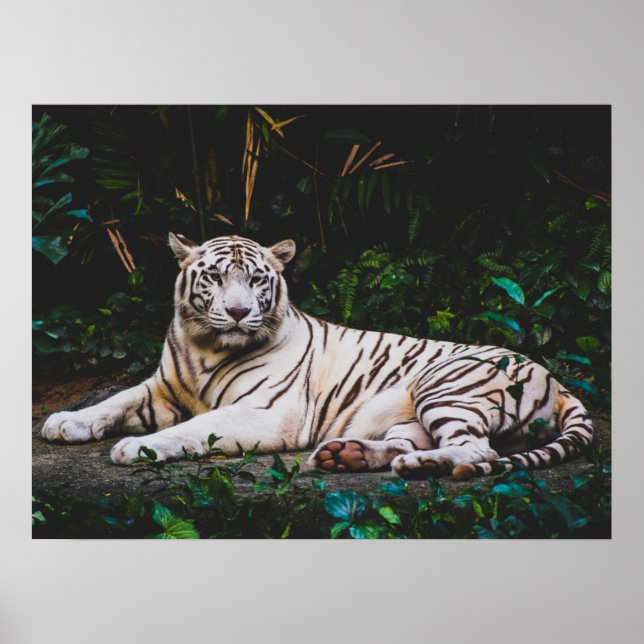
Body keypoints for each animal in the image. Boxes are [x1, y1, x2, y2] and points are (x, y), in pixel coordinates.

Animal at [41, 233, 594, 480]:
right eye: (215, 277)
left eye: (256, 280)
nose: (238, 312)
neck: (205, 346)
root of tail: (558, 381)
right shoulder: (162, 387)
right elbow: (114, 400)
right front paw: (65, 422)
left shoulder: (267, 412)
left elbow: (194, 428)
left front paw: (138, 448)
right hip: (411, 414)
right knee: (413, 441)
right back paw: (346, 455)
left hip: (445, 385)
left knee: (480, 451)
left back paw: (422, 465)